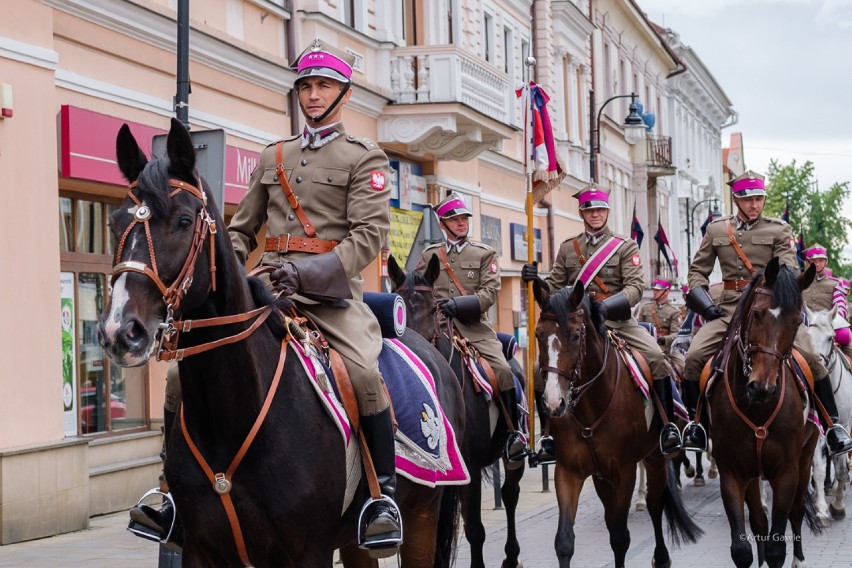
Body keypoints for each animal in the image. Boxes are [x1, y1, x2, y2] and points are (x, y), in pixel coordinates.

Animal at [98, 117, 466, 564]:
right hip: (353, 540)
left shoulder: (307, 552)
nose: (121, 330)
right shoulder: (202, 550)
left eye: (184, 221)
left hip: (423, 514)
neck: (231, 416)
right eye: (115, 223)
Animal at [388, 254, 524, 568]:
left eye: (433, 309)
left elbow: (474, 529)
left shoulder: (469, 466)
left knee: (510, 494)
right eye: (397, 306)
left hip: (514, 455)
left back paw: (512, 556)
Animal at [532, 280, 704, 568]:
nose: (554, 402)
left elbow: (621, 537)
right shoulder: (568, 472)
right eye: (537, 334)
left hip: (654, 457)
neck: (590, 408)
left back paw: (661, 555)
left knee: (656, 505)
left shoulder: (624, 471)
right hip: (602, 476)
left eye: (576, 335)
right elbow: (564, 542)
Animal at [708, 258, 824, 568]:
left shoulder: (787, 471)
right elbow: (742, 548)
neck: (757, 407)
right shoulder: (732, 471)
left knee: (797, 513)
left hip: (805, 460)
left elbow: (776, 547)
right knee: (759, 522)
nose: (763, 387)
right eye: (758, 314)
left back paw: (800, 559)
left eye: (796, 321)